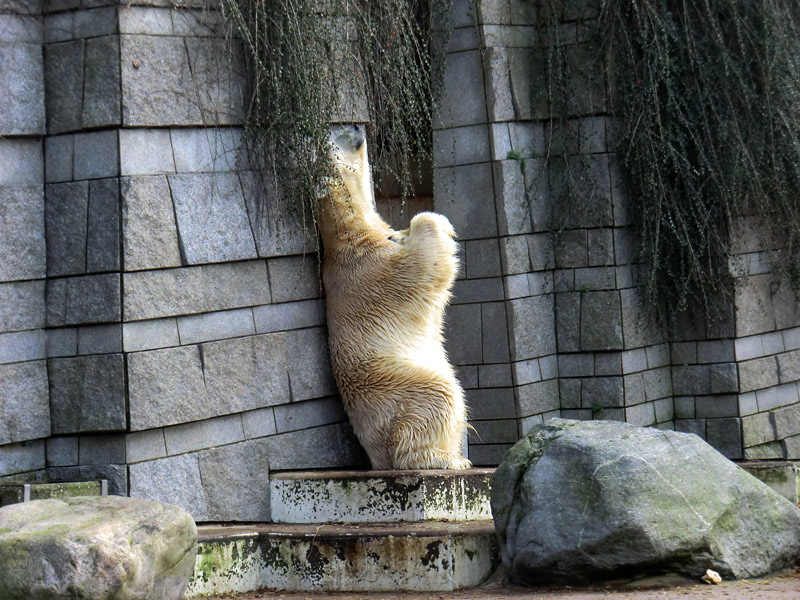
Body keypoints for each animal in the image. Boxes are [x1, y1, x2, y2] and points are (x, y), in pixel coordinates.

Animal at [318, 124, 472, 472]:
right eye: (334, 135)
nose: (356, 124)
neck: (350, 232)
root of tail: (377, 458)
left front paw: (401, 232)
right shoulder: (379, 270)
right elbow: (425, 259)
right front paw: (428, 226)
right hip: (399, 384)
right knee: (440, 395)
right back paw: (448, 460)